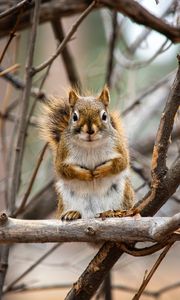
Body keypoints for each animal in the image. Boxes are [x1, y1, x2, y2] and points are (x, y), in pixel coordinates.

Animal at [40, 86, 134, 220]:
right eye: (74, 117)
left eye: (104, 116)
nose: (90, 130)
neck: (90, 145)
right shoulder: (63, 152)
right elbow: (63, 169)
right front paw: (85, 174)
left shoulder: (118, 147)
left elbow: (121, 163)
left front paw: (101, 170)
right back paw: (72, 213)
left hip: (123, 193)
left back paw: (114, 212)